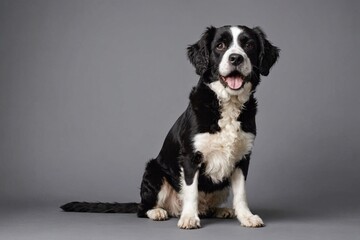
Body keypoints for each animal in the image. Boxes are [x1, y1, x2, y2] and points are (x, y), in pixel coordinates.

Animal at [61, 25, 278, 230]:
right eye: (220, 46)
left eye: (249, 45)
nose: (236, 58)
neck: (226, 104)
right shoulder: (190, 157)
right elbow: (191, 191)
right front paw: (189, 218)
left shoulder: (242, 157)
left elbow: (241, 194)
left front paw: (246, 217)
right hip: (154, 172)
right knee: (142, 209)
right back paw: (158, 212)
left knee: (207, 206)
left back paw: (219, 210)